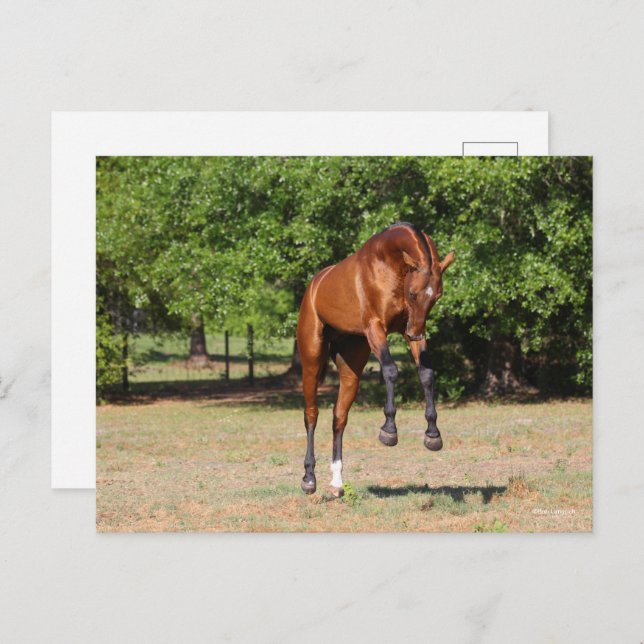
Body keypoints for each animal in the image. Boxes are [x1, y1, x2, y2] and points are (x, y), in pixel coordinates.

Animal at [296, 222, 455, 496]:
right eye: (413, 293)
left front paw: (433, 434)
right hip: (312, 362)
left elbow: (426, 373)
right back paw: (309, 478)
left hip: (351, 370)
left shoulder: (408, 328)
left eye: (437, 296)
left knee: (339, 417)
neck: (389, 263)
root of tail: (314, 286)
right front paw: (389, 430)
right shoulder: (376, 327)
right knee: (311, 414)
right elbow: (390, 370)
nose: (416, 334)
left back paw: (337, 482)